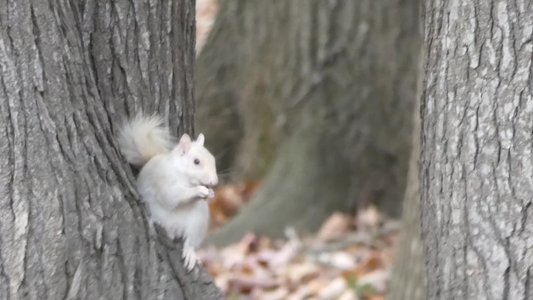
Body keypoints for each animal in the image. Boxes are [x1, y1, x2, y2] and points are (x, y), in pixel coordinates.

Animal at [117, 113, 217, 270]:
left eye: (213, 159)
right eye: (196, 161)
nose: (214, 181)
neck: (183, 175)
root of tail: (176, 229)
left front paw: (210, 193)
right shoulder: (163, 182)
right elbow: (171, 197)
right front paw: (198, 190)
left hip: (198, 222)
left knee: (190, 241)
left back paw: (190, 253)